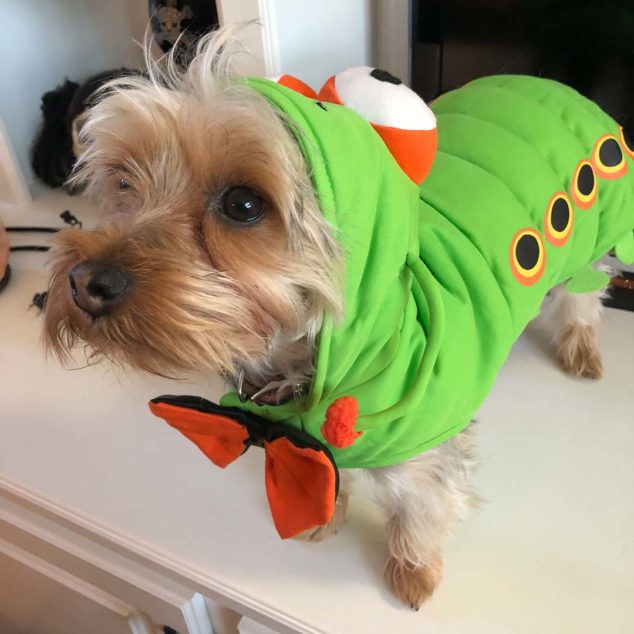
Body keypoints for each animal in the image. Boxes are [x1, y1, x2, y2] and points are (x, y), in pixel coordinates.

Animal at [45, 29, 628, 608]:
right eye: (124, 183)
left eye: (243, 204)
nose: (85, 282)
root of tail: (551, 82)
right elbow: (330, 476)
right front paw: (326, 515)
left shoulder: (425, 453)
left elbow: (423, 508)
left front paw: (413, 570)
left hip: (592, 241)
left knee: (583, 298)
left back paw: (581, 348)